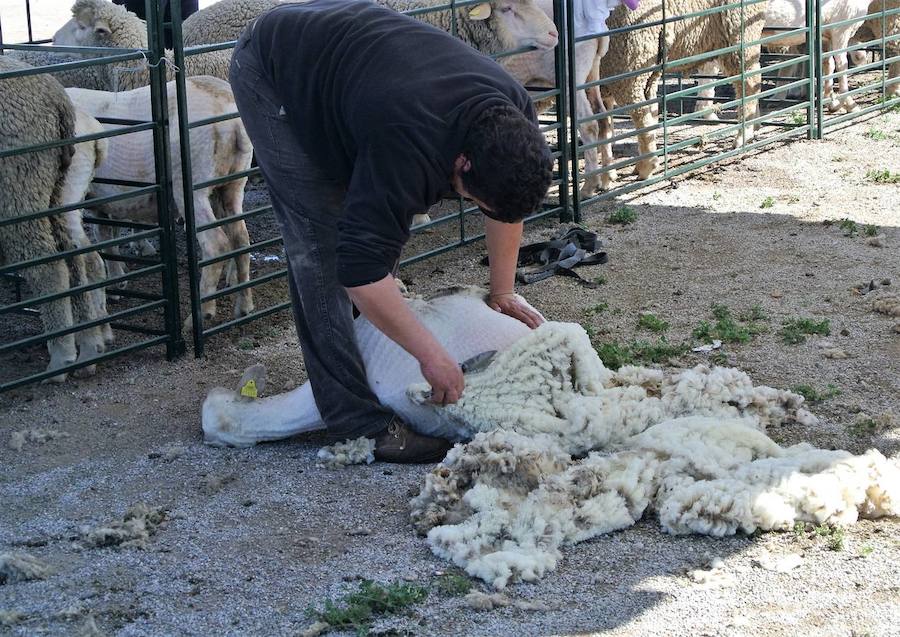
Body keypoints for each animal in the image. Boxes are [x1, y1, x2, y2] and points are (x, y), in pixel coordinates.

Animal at [0, 57, 112, 380]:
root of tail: (56, 96)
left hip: (19, 189)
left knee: (48, 266)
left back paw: (62, 357)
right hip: (57, 194)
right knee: (78, 258)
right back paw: (89, 347)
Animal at [67, 76, 255, 326]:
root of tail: (230, 114)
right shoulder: (102, 200)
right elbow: (107, 238)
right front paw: (117, 281)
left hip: (191, 185)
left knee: (216, 244)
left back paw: (200, 314)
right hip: (231, 185)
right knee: (241, 239)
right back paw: (244, 306)